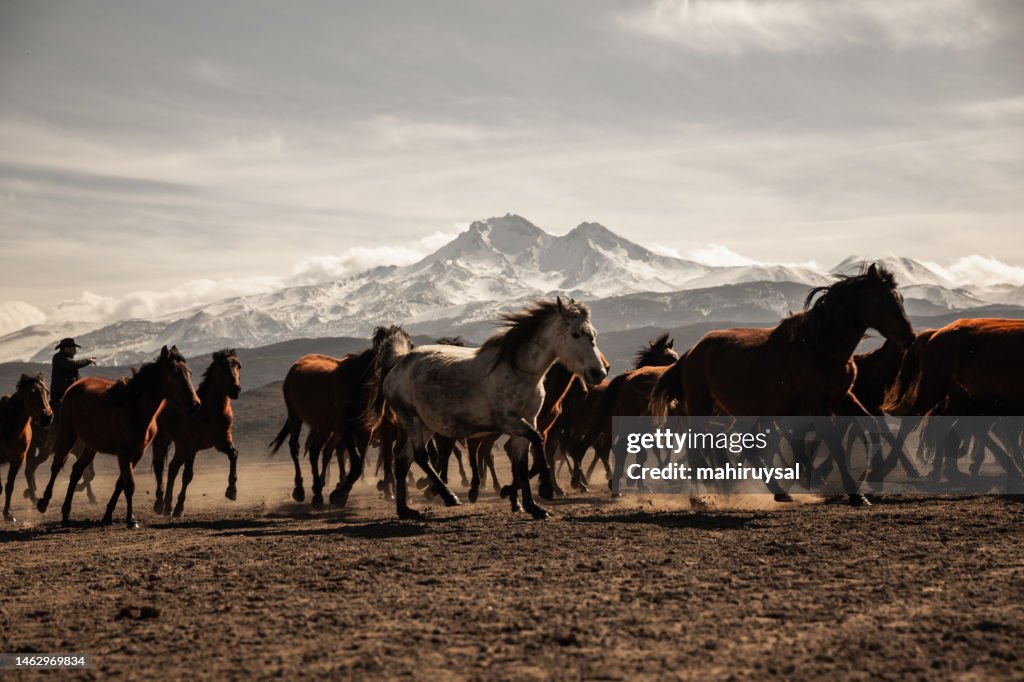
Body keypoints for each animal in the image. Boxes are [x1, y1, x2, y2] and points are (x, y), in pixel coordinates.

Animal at [0, 375, 52, 522]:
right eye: (30, 393)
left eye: (47, 392)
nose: (47, 417)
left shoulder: (18, 459)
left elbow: (9, 487)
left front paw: (8, 514)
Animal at [35, 346, 201, 528]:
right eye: (173, 374)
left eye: (189, 373)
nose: (195, 404)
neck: (135, 409)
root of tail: (74, 387)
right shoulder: (124, 453)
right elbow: (129, 485)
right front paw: (131, 519)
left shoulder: (136, 453)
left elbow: (121, 483)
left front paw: (108, 515)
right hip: (68, 434)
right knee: (57, 465)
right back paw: (43, 503)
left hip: (91, 446)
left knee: (76, 470)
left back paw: (66, 513)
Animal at [152, 349, 242, 517]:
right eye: (223, 367)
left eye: (239, 366)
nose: (235, 389)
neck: (210, 412)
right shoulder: (192, 447)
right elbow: (188, 476)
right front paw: (179, 507)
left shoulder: (222, 441)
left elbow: (234, 455)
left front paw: (232, 491)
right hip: (165, 441)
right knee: (159, 466)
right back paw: (160, 504)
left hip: (180, 447)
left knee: (172, 468)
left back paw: (168, 506)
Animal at [363, 297, 607, 520]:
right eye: (576, 334)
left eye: (594, 334)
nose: (598, 373)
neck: (518, 372)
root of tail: (399, 362)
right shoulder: (511, 421)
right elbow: (537, 441)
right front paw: (544, 490)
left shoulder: (527, 421)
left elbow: (521, 462)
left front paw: (532, 507)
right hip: (410, 418)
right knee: (420, 456)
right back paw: (448, 496)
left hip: (426, 424)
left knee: (403, 459)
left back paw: (405, 510)